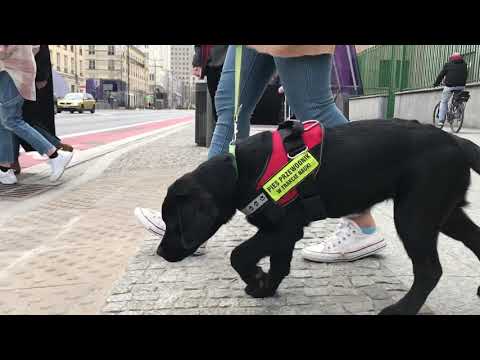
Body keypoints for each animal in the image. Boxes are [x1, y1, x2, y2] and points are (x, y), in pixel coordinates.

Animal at [157, 119, 480, 316]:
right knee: (474, 241)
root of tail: (456, 141)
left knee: (429, 270)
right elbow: (280, 265)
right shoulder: (282, 232)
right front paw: (265, 288)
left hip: (414, 215)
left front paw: (256, 278)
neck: (238, 172)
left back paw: (401, 309)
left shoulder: (283, 230)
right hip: (446, 214)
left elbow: (239, 254)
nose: (160, 253)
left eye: (173, 223)